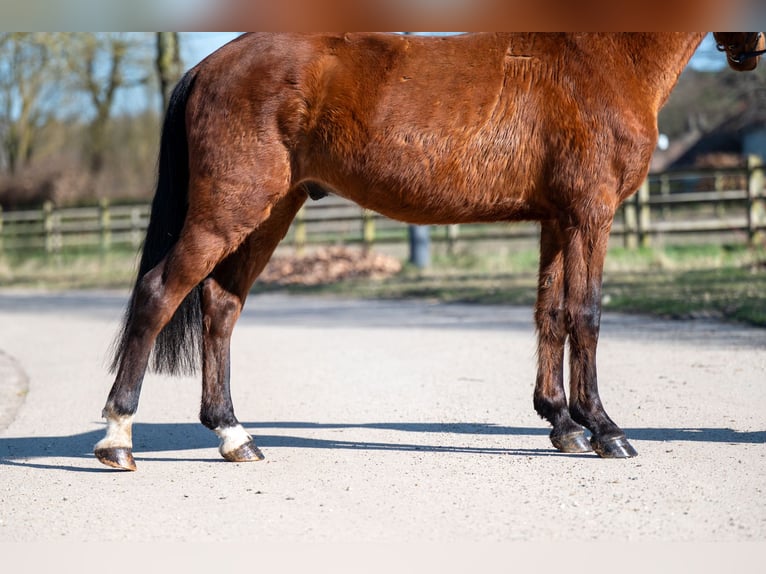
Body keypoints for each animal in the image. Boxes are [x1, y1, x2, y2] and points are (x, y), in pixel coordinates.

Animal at [96, 32, 766, 472]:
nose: (749, 51)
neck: (600, 58)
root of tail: (209, 64)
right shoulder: (589, 216)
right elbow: (587, 316)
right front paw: (604, 430)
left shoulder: (557, 221)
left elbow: (551, 315)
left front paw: (561, 424)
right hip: (230, 210)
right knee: (159, 294)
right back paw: (119, 438)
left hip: (269, 214)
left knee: (220, 307)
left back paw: (235, 436)